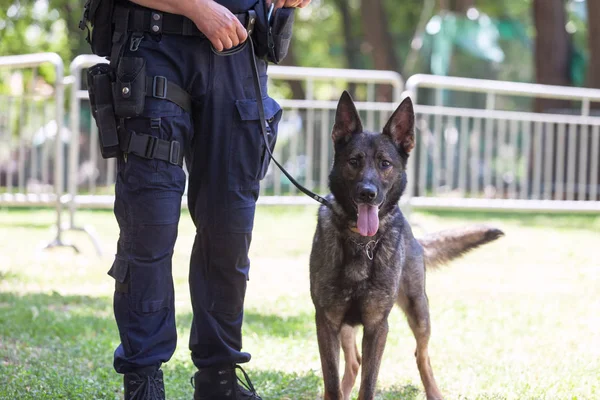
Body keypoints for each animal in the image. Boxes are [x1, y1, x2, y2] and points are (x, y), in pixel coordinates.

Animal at [310, 91, 502, 400]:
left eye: (385, 164)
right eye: (354, 161)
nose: (367, 194)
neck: (361, 241)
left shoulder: (377, 326)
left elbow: (369, 385)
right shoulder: (327, 321)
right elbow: (332, 382)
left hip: (419, 312)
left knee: (421, 356)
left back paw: (434, 392)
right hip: (346, 327)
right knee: (353, 362)